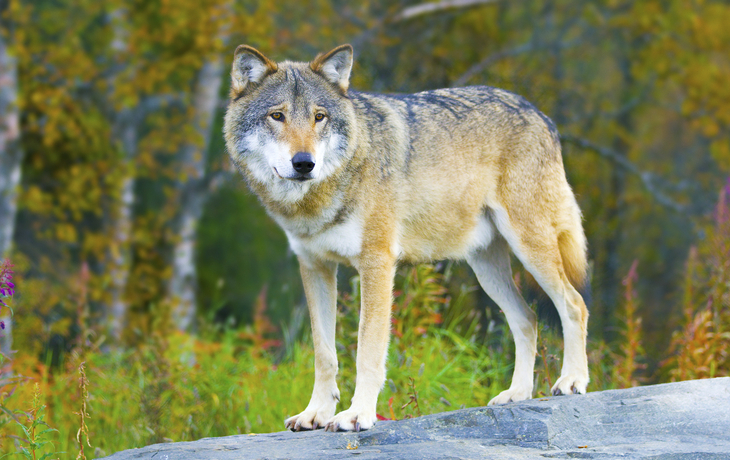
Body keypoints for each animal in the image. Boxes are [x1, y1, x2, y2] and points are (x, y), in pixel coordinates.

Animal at [223, 44, 589, 432]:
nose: (304, 163)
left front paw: (357, 414)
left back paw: (572, 381)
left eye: (319, 117)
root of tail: (540, 114)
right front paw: (316, 413)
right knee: (528, 319)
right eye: (277, 116)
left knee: (574, 304)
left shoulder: (377, 263)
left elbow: (367, 350)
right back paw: (516, 394)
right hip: (486, 268)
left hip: (530, 248)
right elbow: (324, 354)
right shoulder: (314, 266)